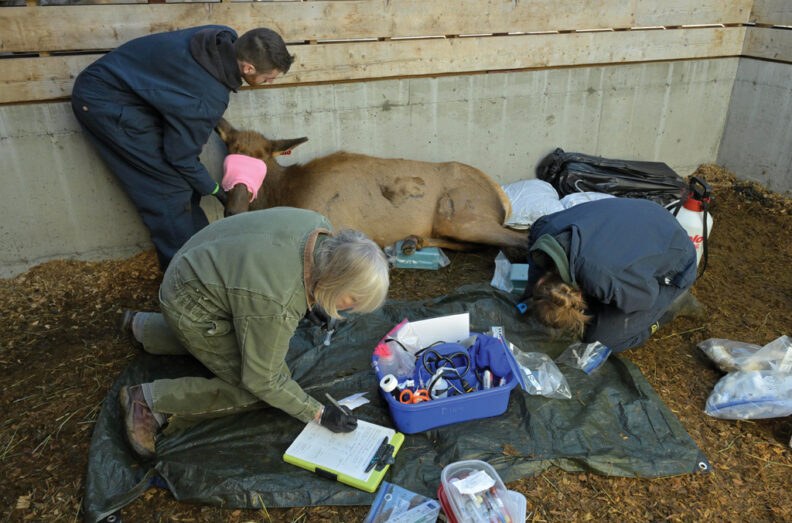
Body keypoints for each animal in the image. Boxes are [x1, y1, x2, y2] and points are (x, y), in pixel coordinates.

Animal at [215, 118, 528, 254]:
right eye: (230, 154)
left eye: (261, 161)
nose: (233, 211)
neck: (287, 194)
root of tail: (502, 196)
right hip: (451, 223)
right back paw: (413, 241)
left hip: (463, 216)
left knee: (518, 238)